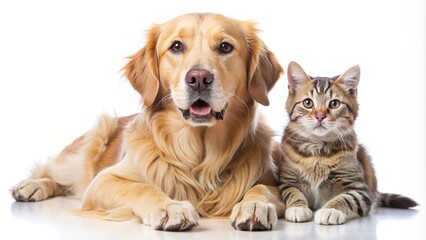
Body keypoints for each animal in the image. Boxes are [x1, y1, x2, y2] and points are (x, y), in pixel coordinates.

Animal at [12, 12, 286, 231]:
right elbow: (142, 188)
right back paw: (31, 186)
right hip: (92, 139)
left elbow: (261, 189)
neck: (198, 151)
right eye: (176, 46)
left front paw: (254, 206)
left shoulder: (272, 179)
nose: (199, 78)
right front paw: (170, 207)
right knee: (56, 172)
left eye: (226, 47)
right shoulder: (103, 181)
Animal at [278, 61, 418, 225]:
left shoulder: (360, 189)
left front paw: (330, 210)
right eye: (308, 103)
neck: (318, 151)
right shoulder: (287, 181)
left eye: (334, 103)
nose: (320, 116)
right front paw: (297, 207)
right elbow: (293, 192)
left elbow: (346, 199)